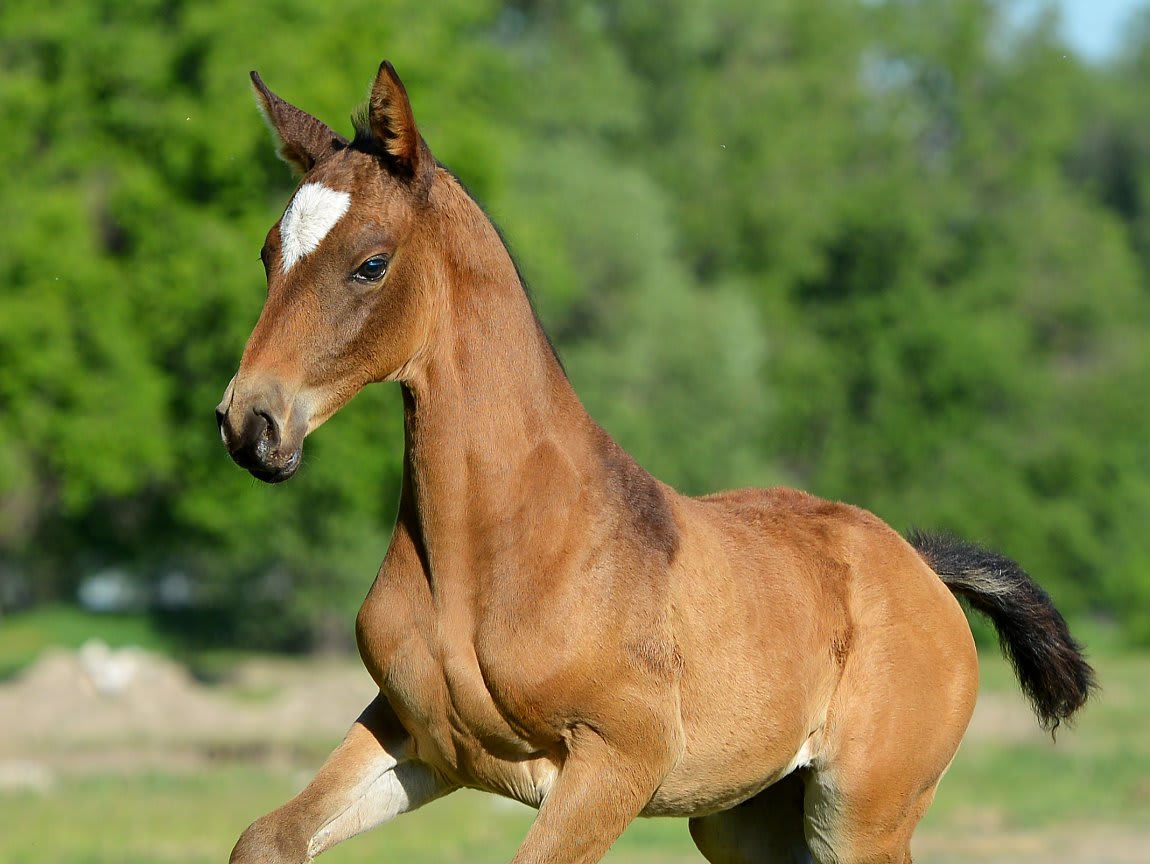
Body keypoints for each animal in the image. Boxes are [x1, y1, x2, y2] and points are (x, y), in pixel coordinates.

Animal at [215, 61, 1095, 864]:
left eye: (371, 263)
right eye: (267, 252)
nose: (250, 423)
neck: (496, 549)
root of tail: (920, 567)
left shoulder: (617, 761)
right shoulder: (418, 735)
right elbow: (266, 838)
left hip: (861, 818)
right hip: (747, 821)